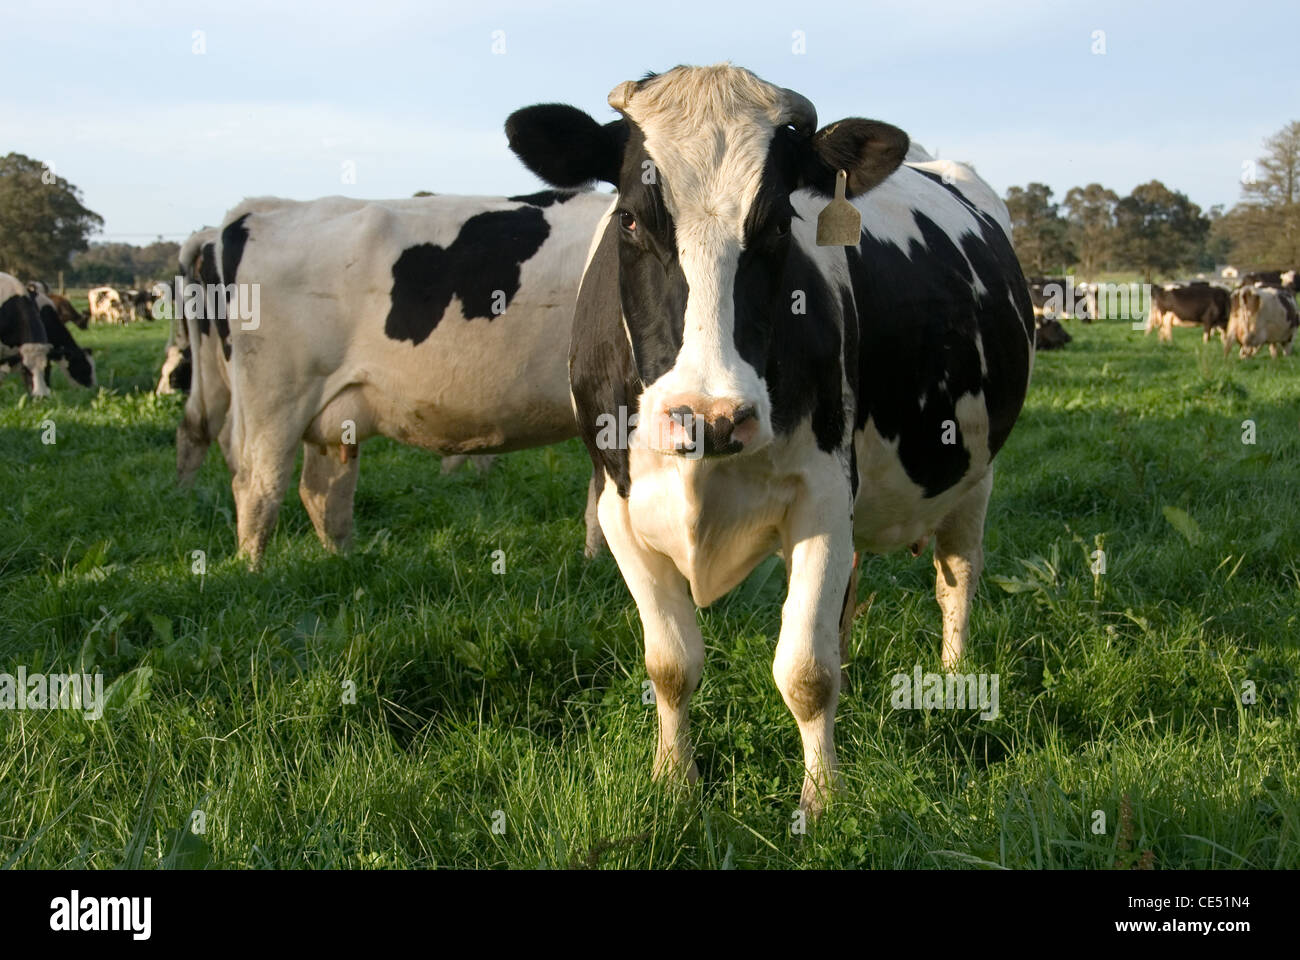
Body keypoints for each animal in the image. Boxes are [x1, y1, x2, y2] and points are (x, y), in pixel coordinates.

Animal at [181, 190, 614, 564]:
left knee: (320, 491)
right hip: (275, 399)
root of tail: (260, 208)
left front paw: (592, 564)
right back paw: (253, 572)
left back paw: (344, 564)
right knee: (258, 488)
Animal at [505, 64, 1035, 812]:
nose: (710, 415)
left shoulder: (822, 497)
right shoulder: (618, 506)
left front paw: (823, 800)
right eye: (631, 219)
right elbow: (671, 663)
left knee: (956, 578)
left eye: (780, 224)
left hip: (973, 474)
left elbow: (805, 671)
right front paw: (674, 782)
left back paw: (954, 681)